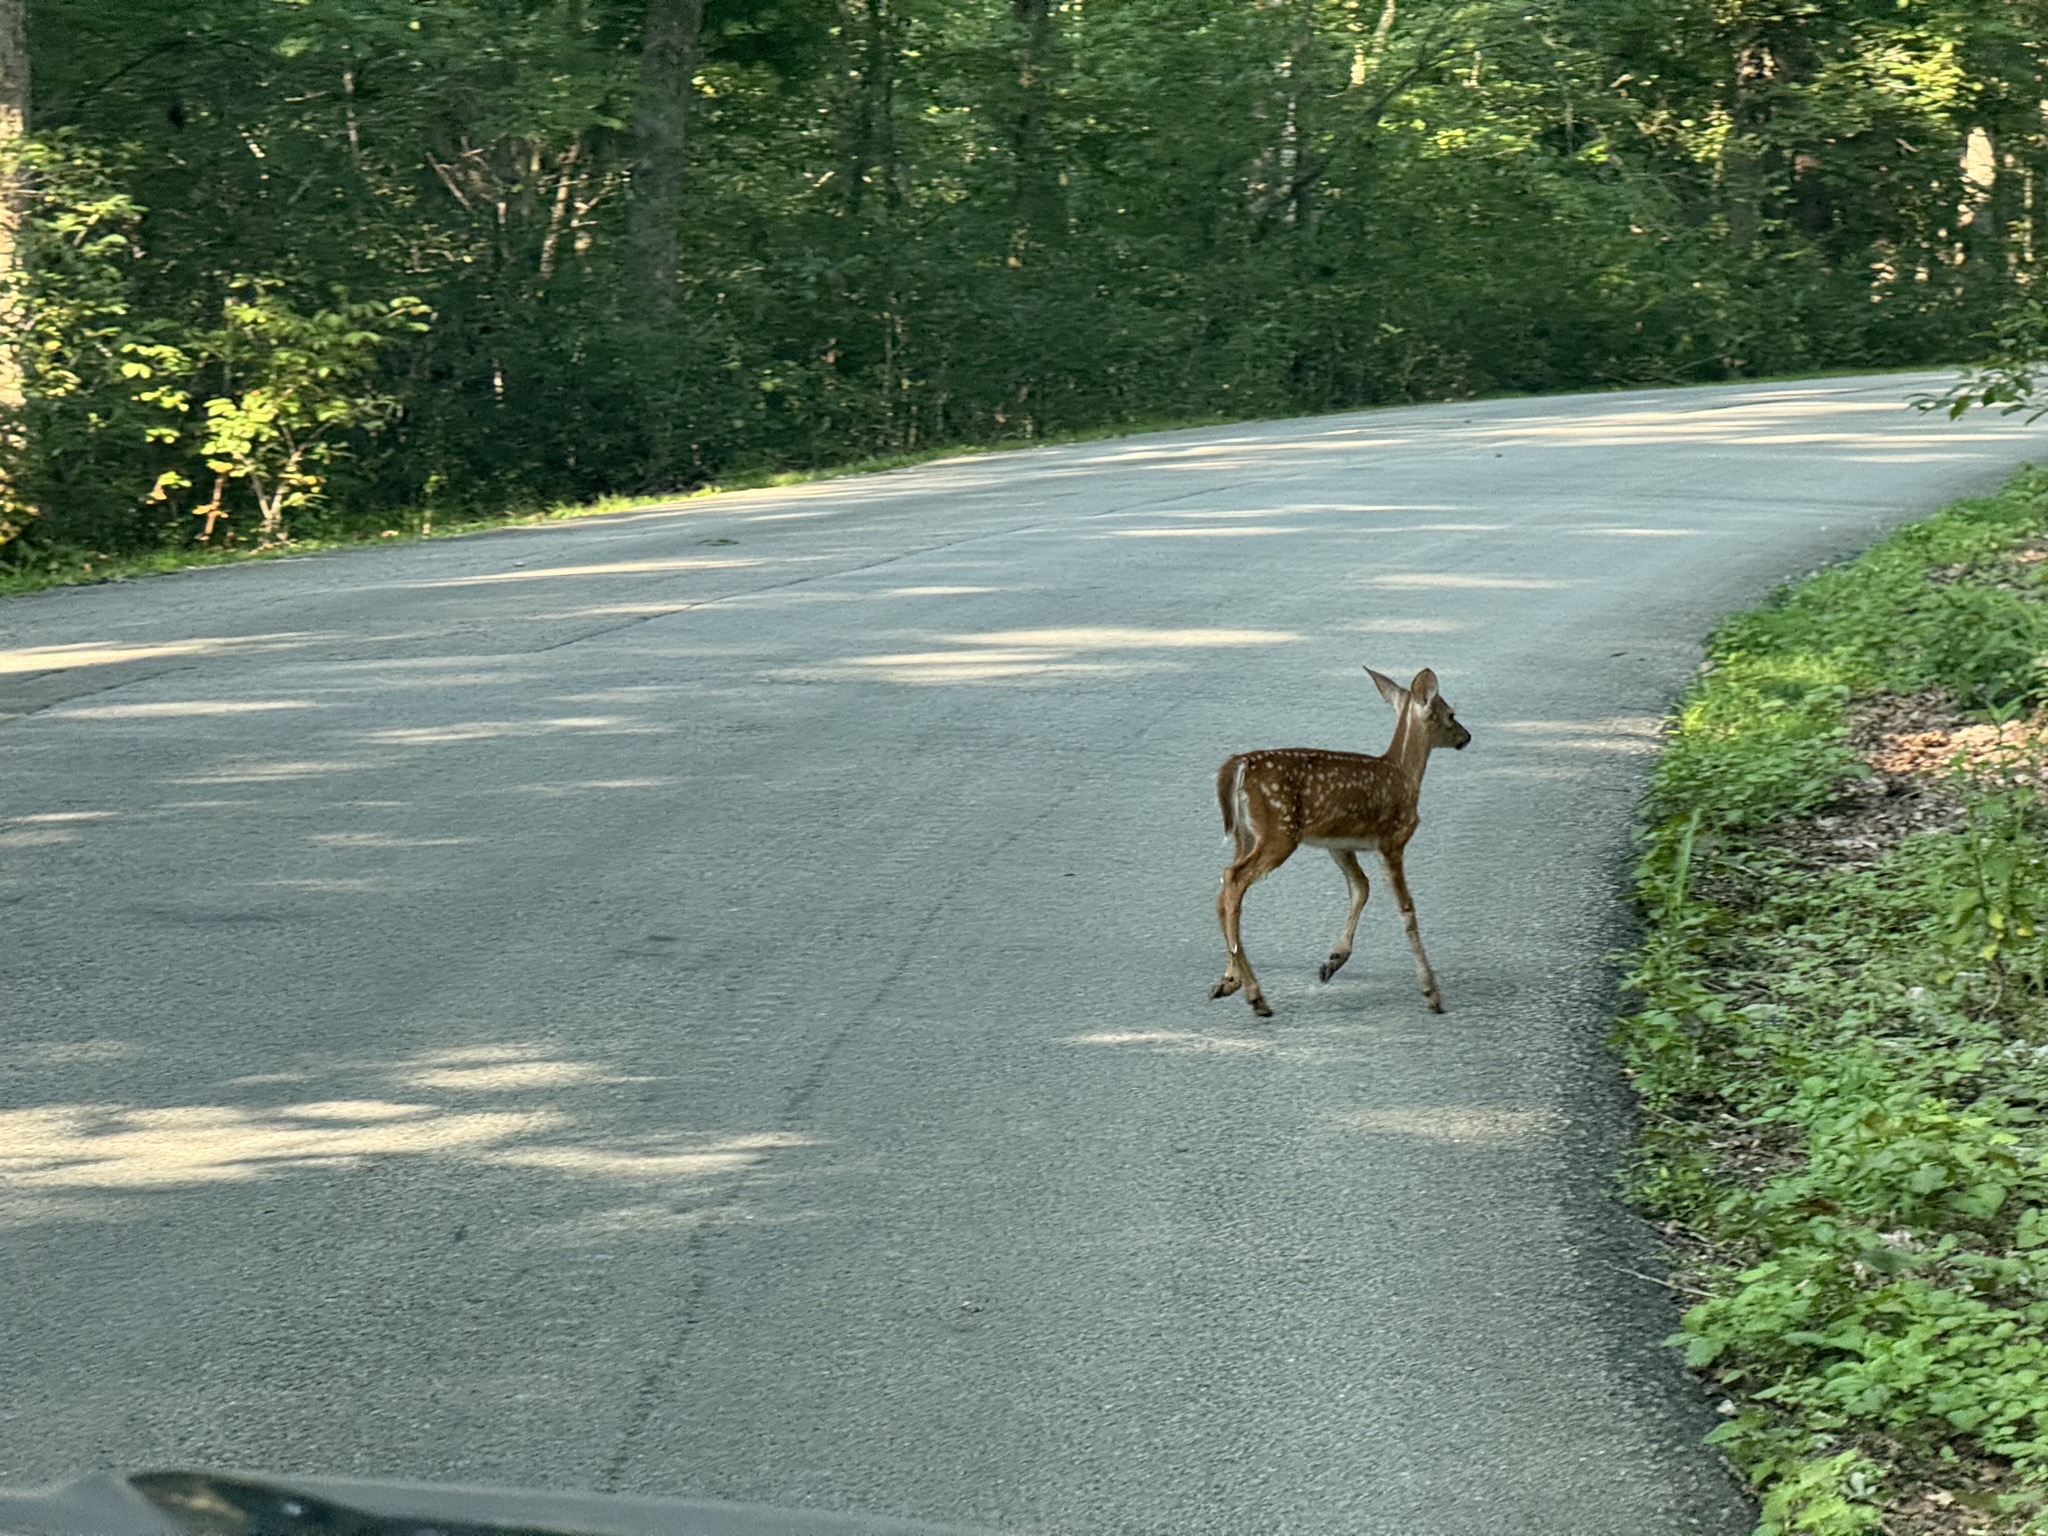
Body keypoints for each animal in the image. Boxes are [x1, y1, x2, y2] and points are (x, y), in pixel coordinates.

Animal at [1209, 666, 1471, 1019]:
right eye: (1451, 713)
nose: (1466, 736)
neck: (1403, 773)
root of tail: (1237, 764)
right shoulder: (1392, 839)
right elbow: (1406, 909)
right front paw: (1432, 992)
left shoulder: (1340, 843)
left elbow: (1361, 887)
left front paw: (1332, 961)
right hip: (1279, 832)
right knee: (1233, 880)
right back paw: (1255, 996)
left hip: (1245, 835)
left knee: (1225, 887)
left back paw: (1230, 981)